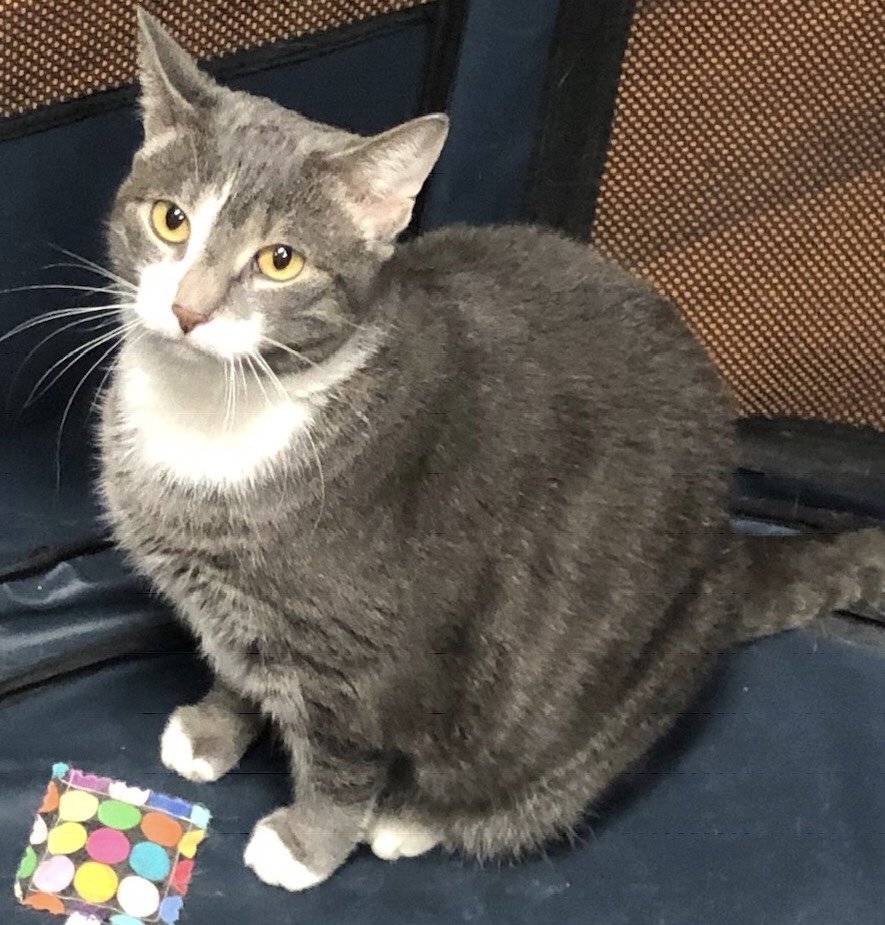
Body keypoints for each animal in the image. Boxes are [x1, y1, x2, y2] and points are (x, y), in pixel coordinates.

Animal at [96, 7, 884, 888]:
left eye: (280, 261)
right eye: (170, 219)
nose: (189, 310)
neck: (213, 413)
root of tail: (731, 555)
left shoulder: (363, 653)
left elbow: (342, 754)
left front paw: (304, 843)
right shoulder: (239, 607)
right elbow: (237, 667)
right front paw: (210, 731)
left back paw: (410, 817)